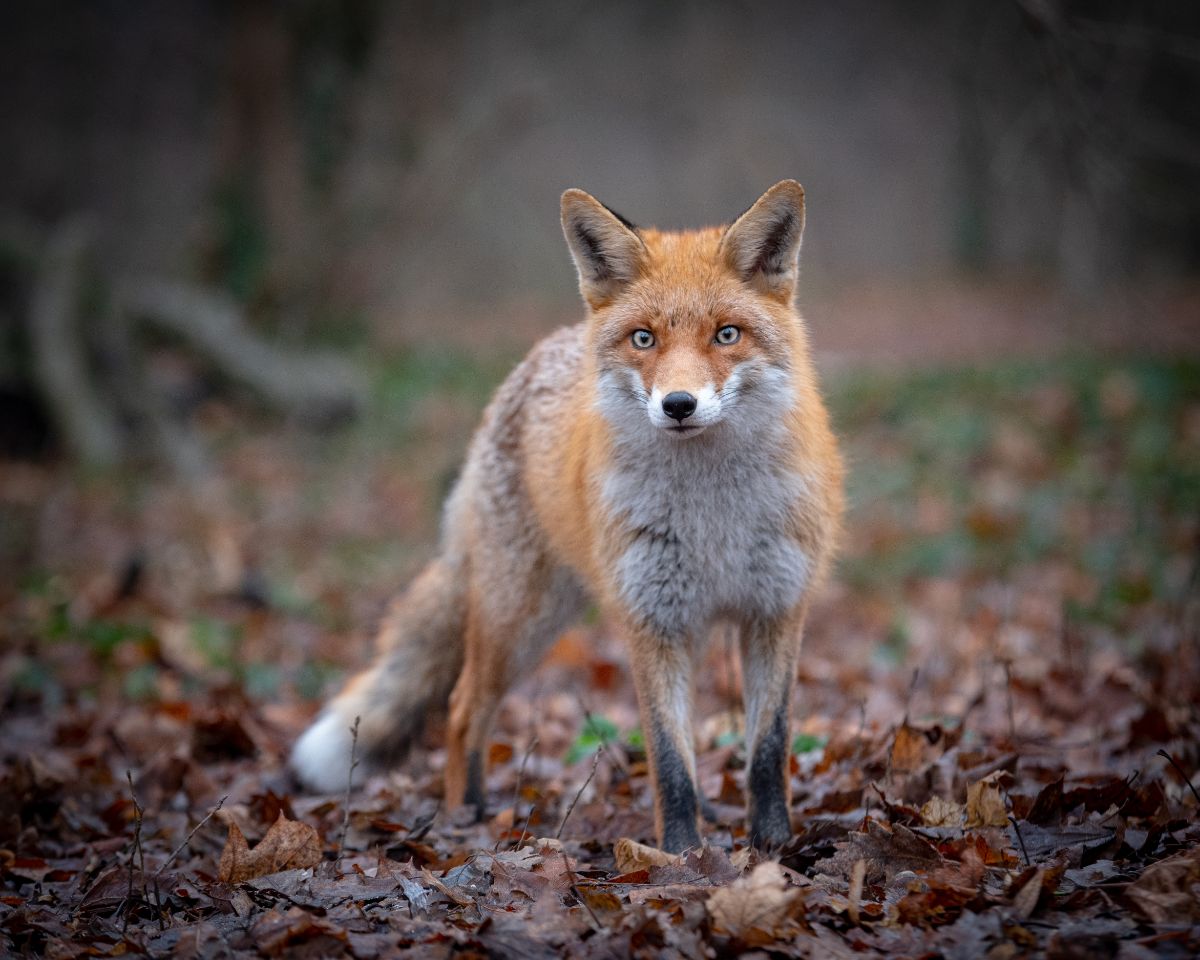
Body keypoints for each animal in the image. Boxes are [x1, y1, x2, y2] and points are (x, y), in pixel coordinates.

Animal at [290, 177, 844, 849]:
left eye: (727, 334)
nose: (678, 404)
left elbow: (766, 750)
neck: (713, 516)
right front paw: (682, 856)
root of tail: (537, 356)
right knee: (462, 709)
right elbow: (669, 761)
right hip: (520, 621)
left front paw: (774, 848)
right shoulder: (651, 621)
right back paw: (465, 816)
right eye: (644, 338)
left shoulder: (775, 611)